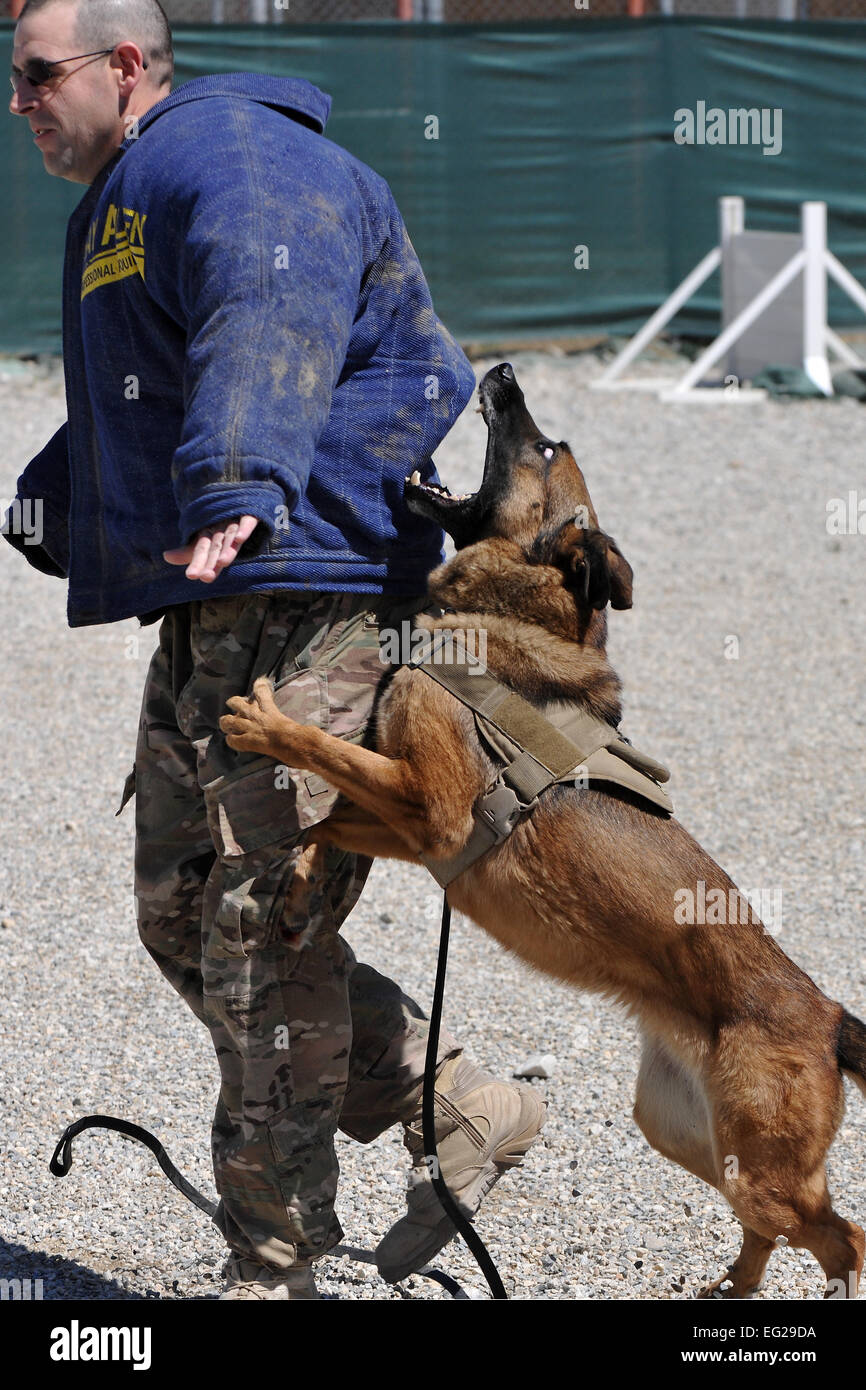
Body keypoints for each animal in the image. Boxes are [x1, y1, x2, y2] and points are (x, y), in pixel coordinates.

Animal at [222, 364, 866, 1295]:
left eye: (544, 447)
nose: (500, 372)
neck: (510, 619)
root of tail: (827, 1017)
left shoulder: (430, 810)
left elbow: (325, 759)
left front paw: (265, 723)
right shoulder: (418, 825)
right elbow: (333, 819)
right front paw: (303, 891)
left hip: (762, 1165)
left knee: (842, 1235)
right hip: (685, 1131)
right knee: (772, 1229)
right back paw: (732, 1287)